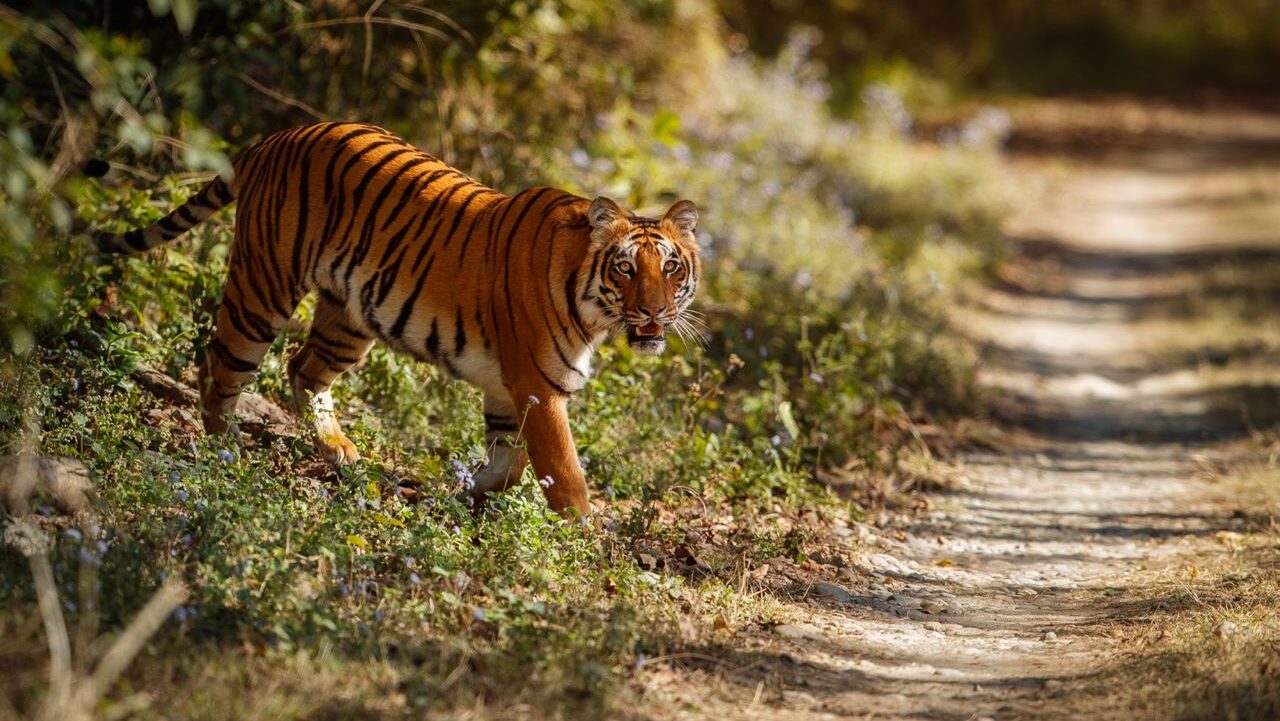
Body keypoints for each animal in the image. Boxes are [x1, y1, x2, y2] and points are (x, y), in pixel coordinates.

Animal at [94, 124, 701, 519]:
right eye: (625, 268)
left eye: (671, 267)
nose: (655, 311)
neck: (593, 307)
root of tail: (277, 137)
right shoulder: (538, 386)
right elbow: (566, 475)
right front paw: (582, 542)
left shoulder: (508, 390)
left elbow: (510, 462)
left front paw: (468, 495)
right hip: (263, 288)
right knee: (219, 369)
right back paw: (227, 454)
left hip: (350, 318)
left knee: (303, 368)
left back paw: (338, 450)